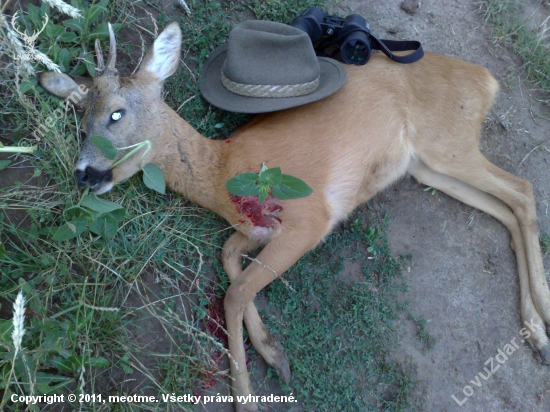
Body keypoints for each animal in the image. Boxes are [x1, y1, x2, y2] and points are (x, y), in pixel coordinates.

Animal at [37, 21, 550, 412]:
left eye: (116, 114)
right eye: (80, 118)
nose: (84, 174)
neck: (223, 172)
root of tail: (487, 80)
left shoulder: (311, 217)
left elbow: (234, 292)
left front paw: (246, 396)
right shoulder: (256, 227)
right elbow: (229, 259)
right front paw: (273, 352)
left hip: (448, 144)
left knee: (523, 191)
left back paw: (542, 320)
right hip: (427, 166)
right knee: (506, 208)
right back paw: (535, 331)